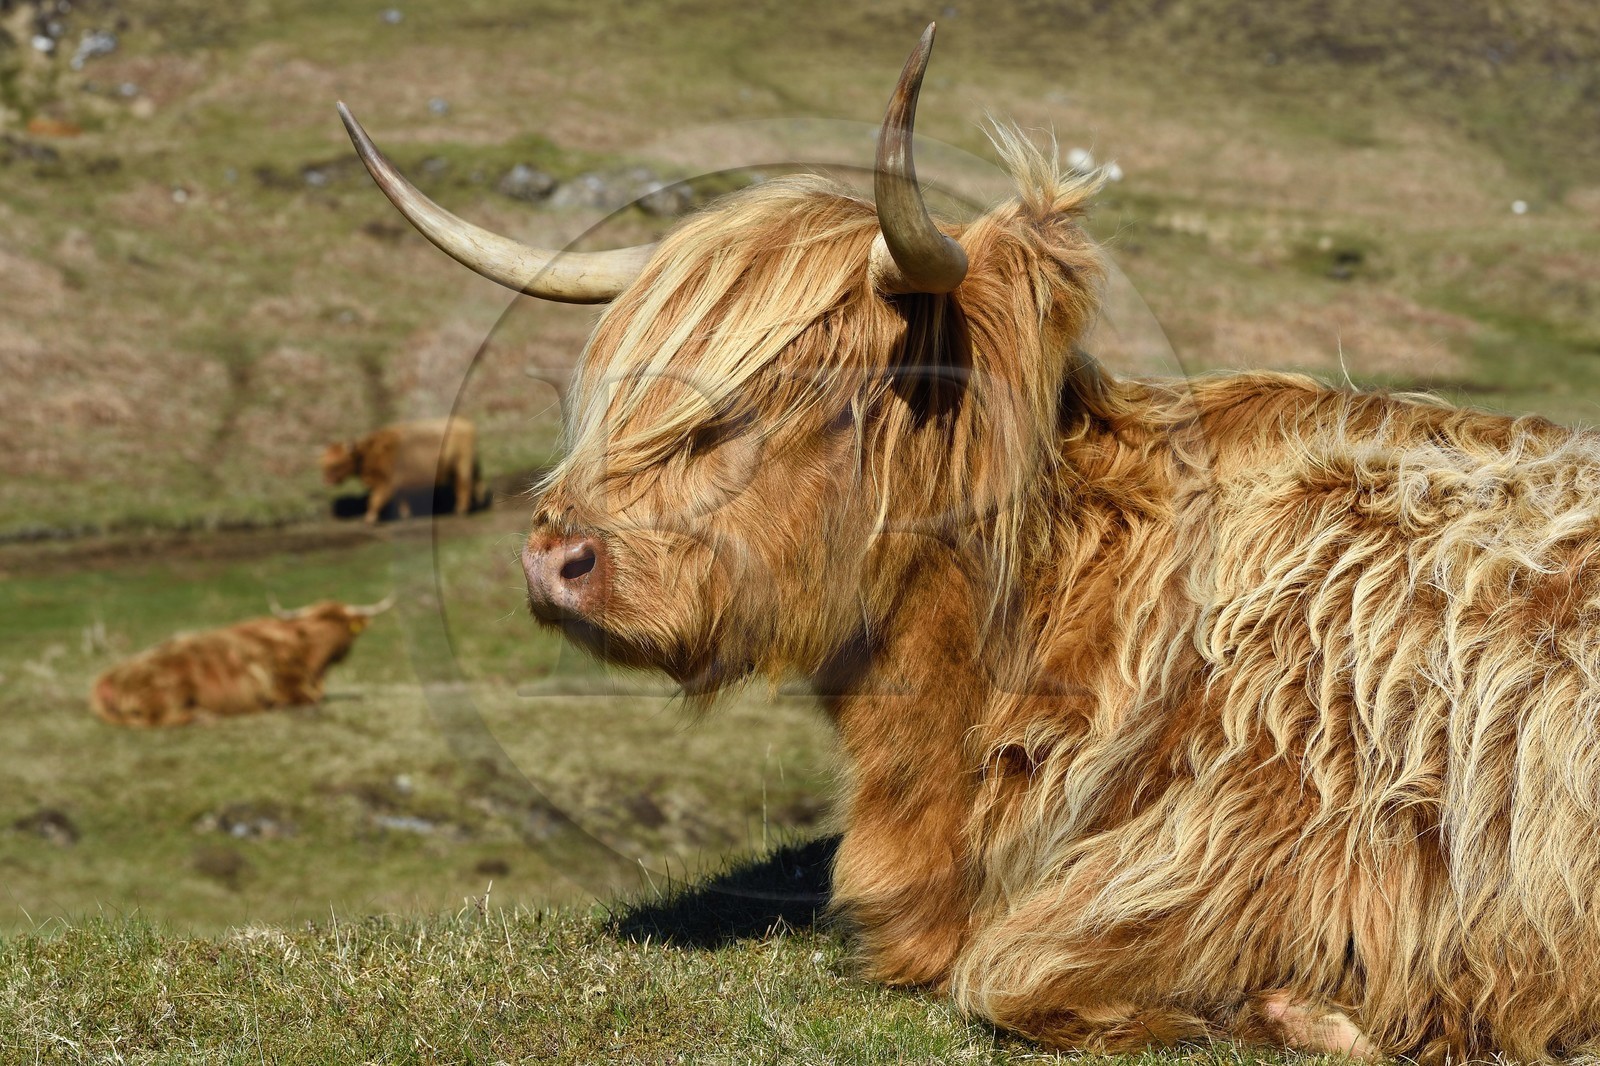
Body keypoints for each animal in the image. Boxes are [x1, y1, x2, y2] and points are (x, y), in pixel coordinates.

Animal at [90, 597, 393, 728]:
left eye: (340, 627)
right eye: (310, 630)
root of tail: (104, 679)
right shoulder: (287, 687)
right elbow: (313, 699)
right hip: (169, 692)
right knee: (160, 719)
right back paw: (204, 716)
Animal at [321, 417, 480, 523]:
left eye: (337, 464)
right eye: (324, 464)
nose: (326, 481)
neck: (370, 452)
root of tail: (465, 423)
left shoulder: (386, 483)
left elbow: (374, 500)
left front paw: (370, 518)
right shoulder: (398, 484)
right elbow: (401, 500)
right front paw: (405, 515)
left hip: (462, 467)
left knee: (464, 485)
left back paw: (461, 511)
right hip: (454, 470)